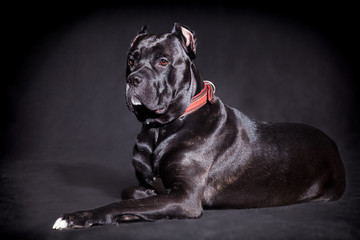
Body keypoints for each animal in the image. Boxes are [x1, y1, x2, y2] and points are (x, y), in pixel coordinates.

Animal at [52, 23, 346, 230]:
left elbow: (119, 203)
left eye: (163, 61)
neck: (161, 128)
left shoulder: (185, 197)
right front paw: (141, 200)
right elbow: (131, 193)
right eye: (131, 61)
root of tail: (332, 143)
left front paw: (80, 217)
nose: (133, 79)